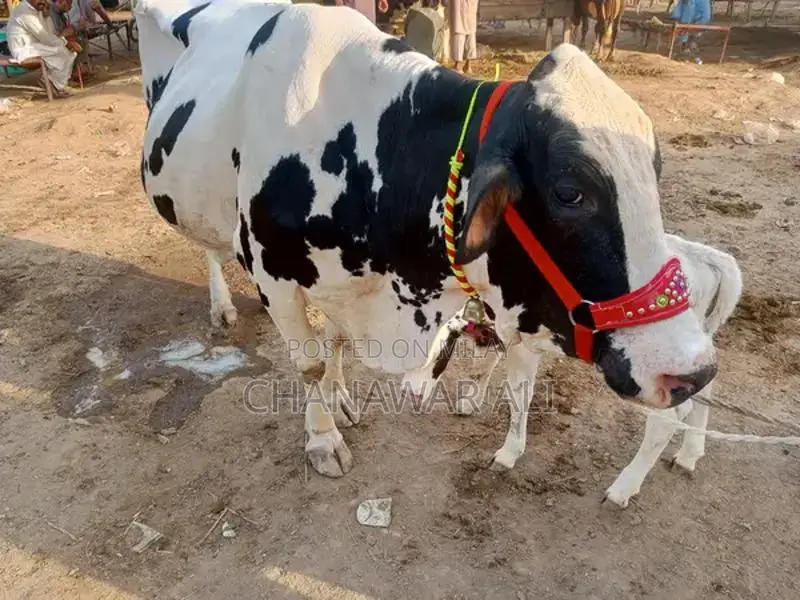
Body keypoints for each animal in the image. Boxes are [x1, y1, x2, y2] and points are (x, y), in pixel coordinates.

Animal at [136, 0, 720, 479]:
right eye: (569, 192)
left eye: (655, 170)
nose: (692, 371)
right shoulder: (275, 277)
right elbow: (309, 364)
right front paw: (323, 439)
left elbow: (335, 342)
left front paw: (340, 397)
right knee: (211, 248)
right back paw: (221, 306)